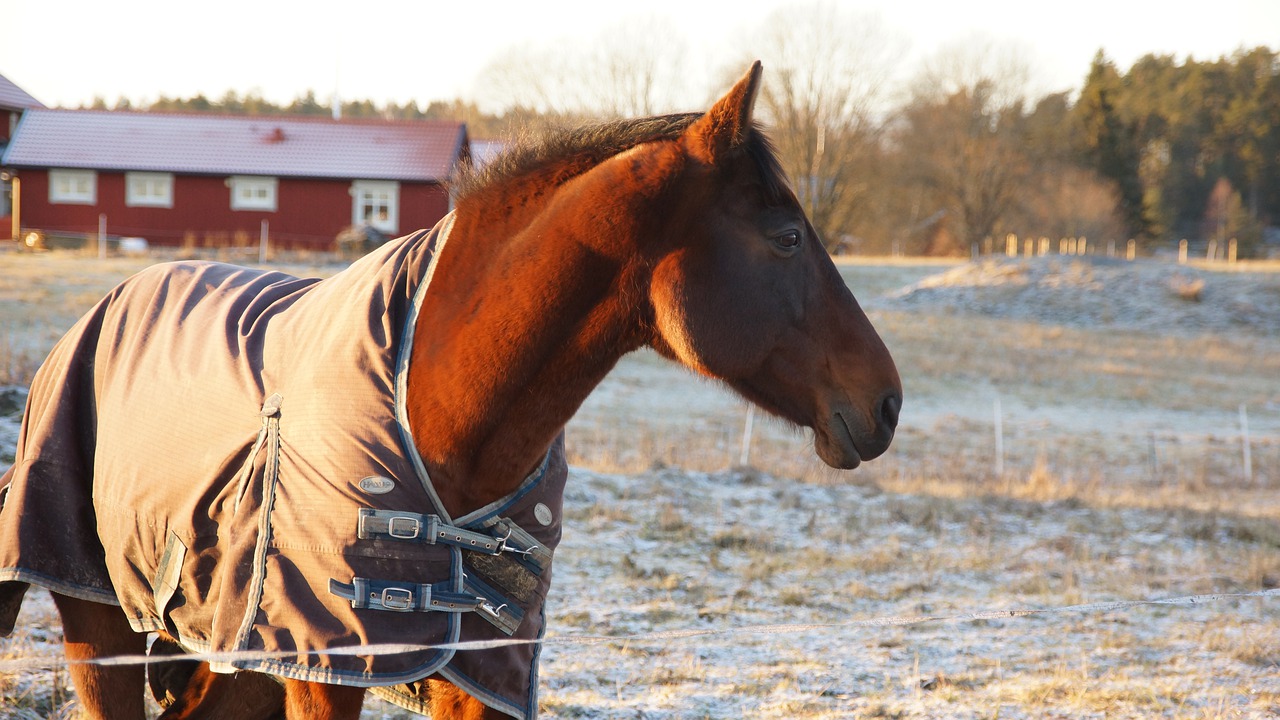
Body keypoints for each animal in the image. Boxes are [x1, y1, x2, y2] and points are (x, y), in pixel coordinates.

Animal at [0, 63, 901, 717]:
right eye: (787, 238)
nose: (886, 401)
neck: (438, 406)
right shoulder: (325, 670)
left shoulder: (481, 675)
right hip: (103, 632)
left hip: (238, 658)